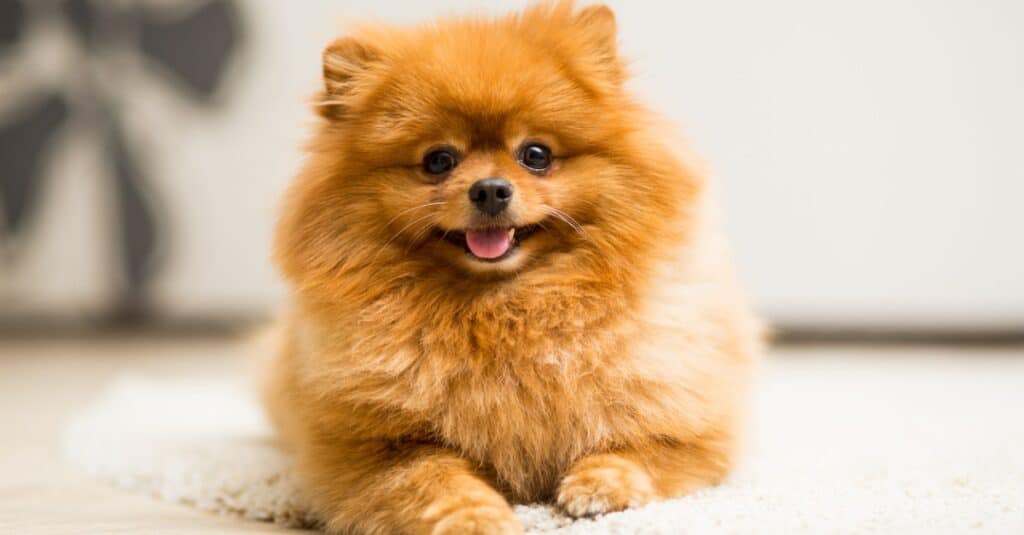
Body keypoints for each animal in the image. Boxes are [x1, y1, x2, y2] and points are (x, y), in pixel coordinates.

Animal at [264, 2, 761, 528]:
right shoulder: (371, 448)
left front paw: (601, 486)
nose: (489, 189)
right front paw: (474, 516)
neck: (508, 309)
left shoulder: (689, 426)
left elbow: (638, 451)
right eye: (438, 160)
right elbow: (431, 479)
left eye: (536, 154)